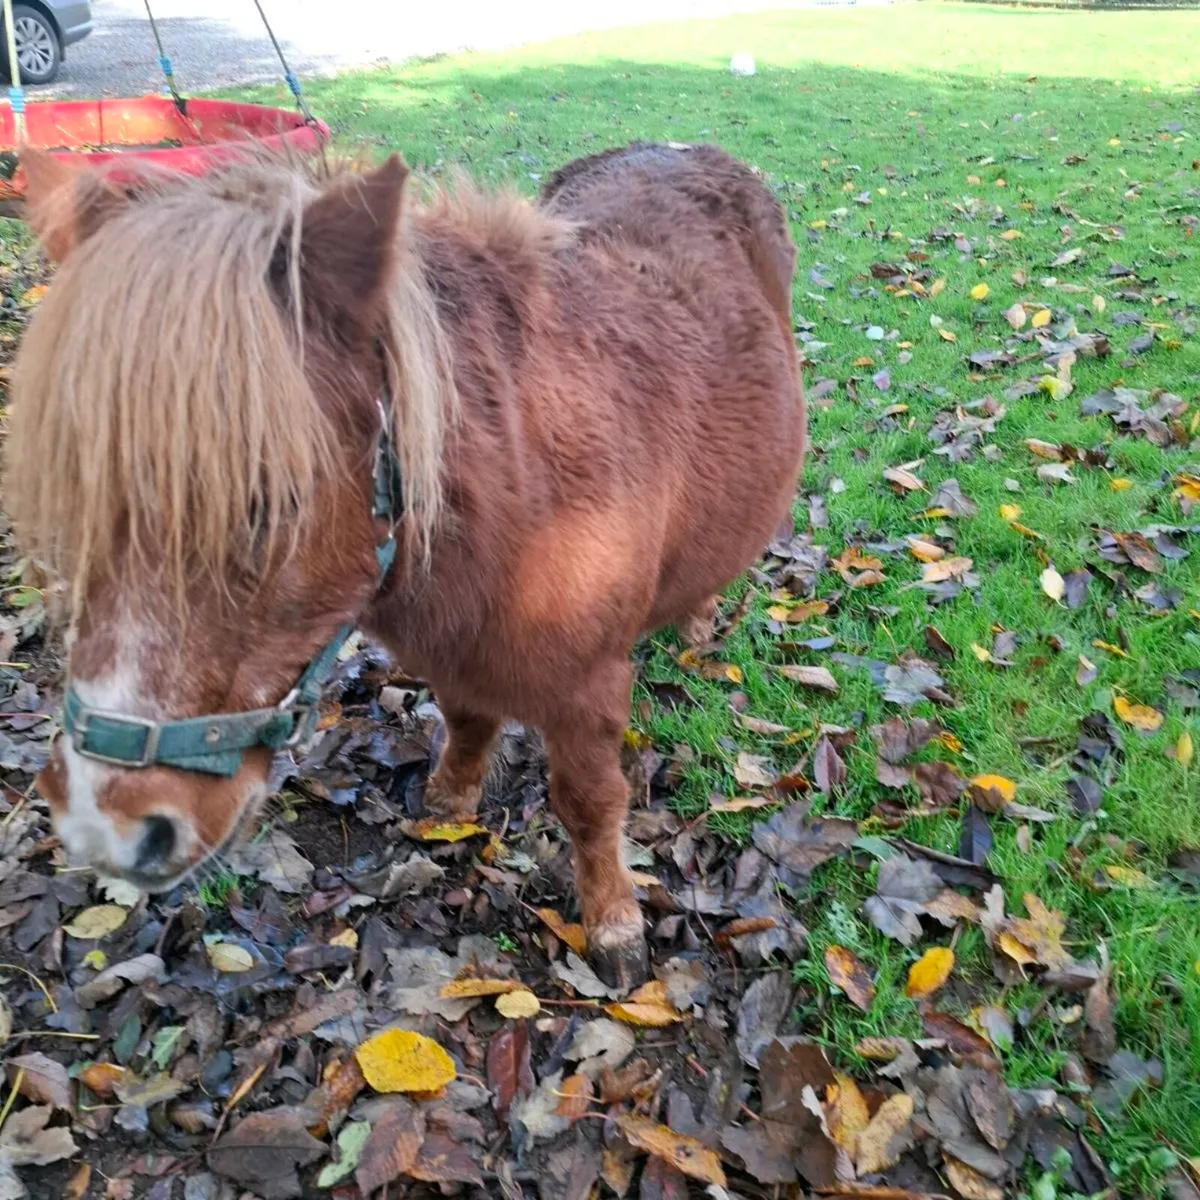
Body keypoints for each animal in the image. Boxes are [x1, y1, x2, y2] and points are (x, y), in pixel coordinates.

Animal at [7, 140, 805, 989]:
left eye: (272, 502)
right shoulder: (452, 652)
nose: (102, 825)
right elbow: (468, 721)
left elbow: (590, 803)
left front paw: (613, 925)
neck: (524, 489)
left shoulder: (590, 691)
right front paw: (450, 805)